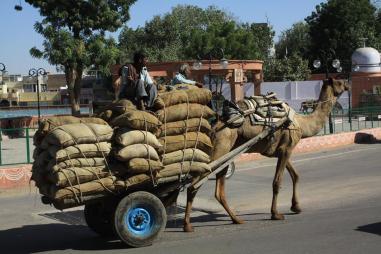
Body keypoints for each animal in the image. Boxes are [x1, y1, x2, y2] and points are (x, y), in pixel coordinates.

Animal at [183, 78, 348, 232]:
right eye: (339, 82)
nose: (347, 84)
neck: (301, 123)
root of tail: (214, 126)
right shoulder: (286, 149)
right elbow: (277, 182)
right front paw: (276, 214)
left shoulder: (281, 151)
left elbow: (295, 175)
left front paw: (296, 207)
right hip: (221, 148)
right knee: (194, 184)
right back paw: (188, 225)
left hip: (227, 153)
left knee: (218, 190)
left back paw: (236, 219)